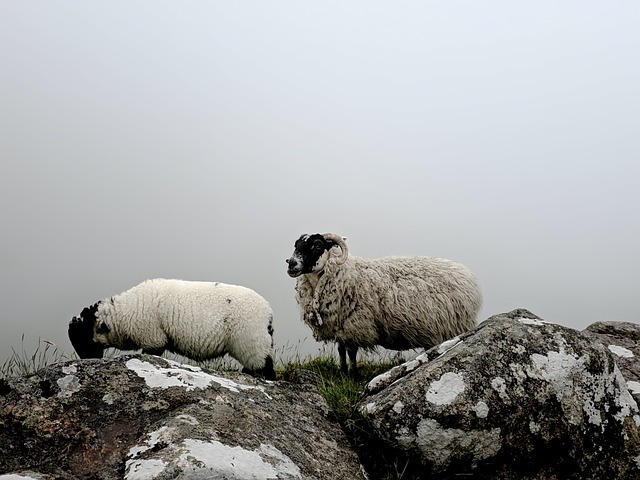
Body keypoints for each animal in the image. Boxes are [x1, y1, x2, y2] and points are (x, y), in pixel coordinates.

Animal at [69, 280, 276, 380]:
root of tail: (269, 313)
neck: (122, 315)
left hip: (250, 341)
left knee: (264, 366)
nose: (87, 360)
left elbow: (152, 355)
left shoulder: (153, 338)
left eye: (81, 337)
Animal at [288, 232, 482, 376]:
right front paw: (342, 372)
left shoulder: (355, 326)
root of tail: (467, 276)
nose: (291, 263)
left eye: (317, 246)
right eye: (296, 244)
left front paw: (352, 375)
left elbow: (351, 353)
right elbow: (341, 351)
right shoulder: (340, 327)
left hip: (454, 326)